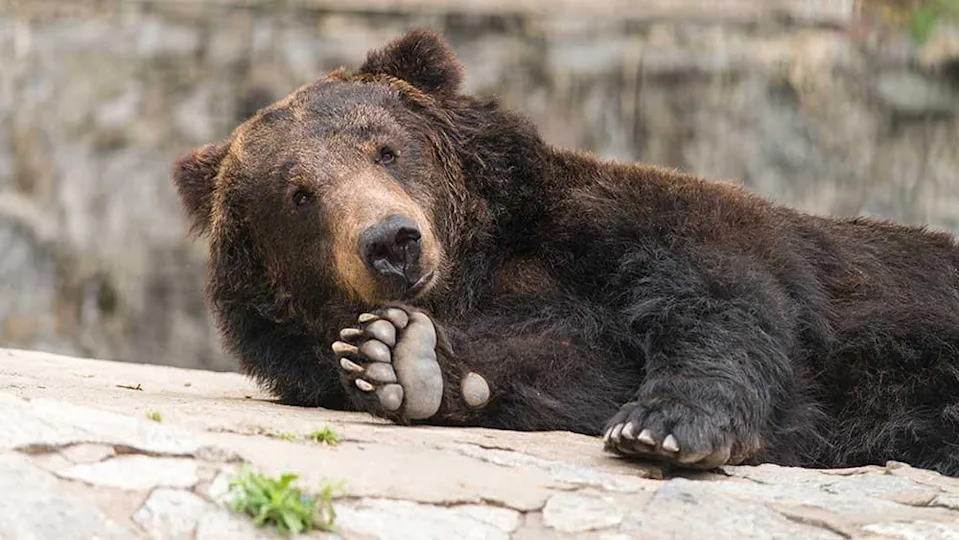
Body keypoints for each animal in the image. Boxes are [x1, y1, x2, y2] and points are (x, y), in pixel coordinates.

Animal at [172, 30, 959, 475]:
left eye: (385, 148)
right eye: (300, 194)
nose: (392, 242)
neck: (479, 270)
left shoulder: (634, 226)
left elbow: (718, 303)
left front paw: (663, 426)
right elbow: (566, 369)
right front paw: (402, 358)